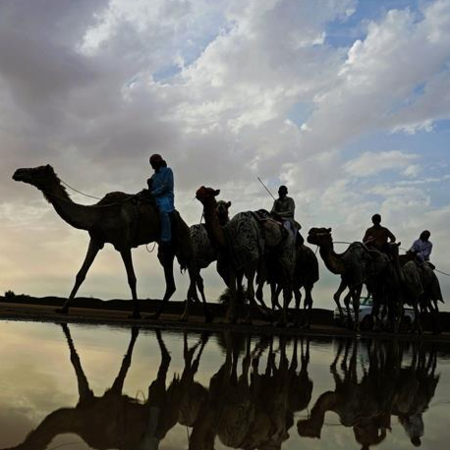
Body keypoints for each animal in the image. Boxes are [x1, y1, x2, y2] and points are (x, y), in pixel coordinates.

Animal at [13, 164, 210, 320]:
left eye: (37, 170)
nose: (17, 172)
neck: (98, 215)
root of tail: (181, 219)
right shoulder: (96, 240)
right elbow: (81, 274)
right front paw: (63, 308)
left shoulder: (123, 244)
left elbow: (132, 278)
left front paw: (136, 312)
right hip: (166, 249)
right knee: (172, 282)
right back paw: (155, 315)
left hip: (183, 242)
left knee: (195, 274)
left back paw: (204, 317)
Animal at [196, 186, 296, 324]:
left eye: (209, 191)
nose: (198, 192)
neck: (228, 234)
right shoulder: (233, 264)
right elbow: (234, 291)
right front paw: (231, 319)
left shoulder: (251, 257)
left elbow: (249, 292)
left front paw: (264, 316)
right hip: (274, 261)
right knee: (282, 284)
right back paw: (282, 319)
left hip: (287, 256)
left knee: (287, 288)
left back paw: (283, 321)